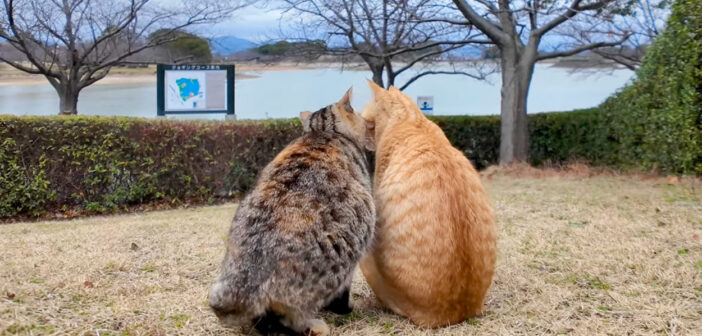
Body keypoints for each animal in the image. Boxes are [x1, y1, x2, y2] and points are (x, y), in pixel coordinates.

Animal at [209, 89, 376, 336]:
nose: (370, 124)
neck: (321, 131)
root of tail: (246, 283)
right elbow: (342, 294)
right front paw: (344, 309)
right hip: (343, 253)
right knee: (289, 317)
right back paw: (314, 325)